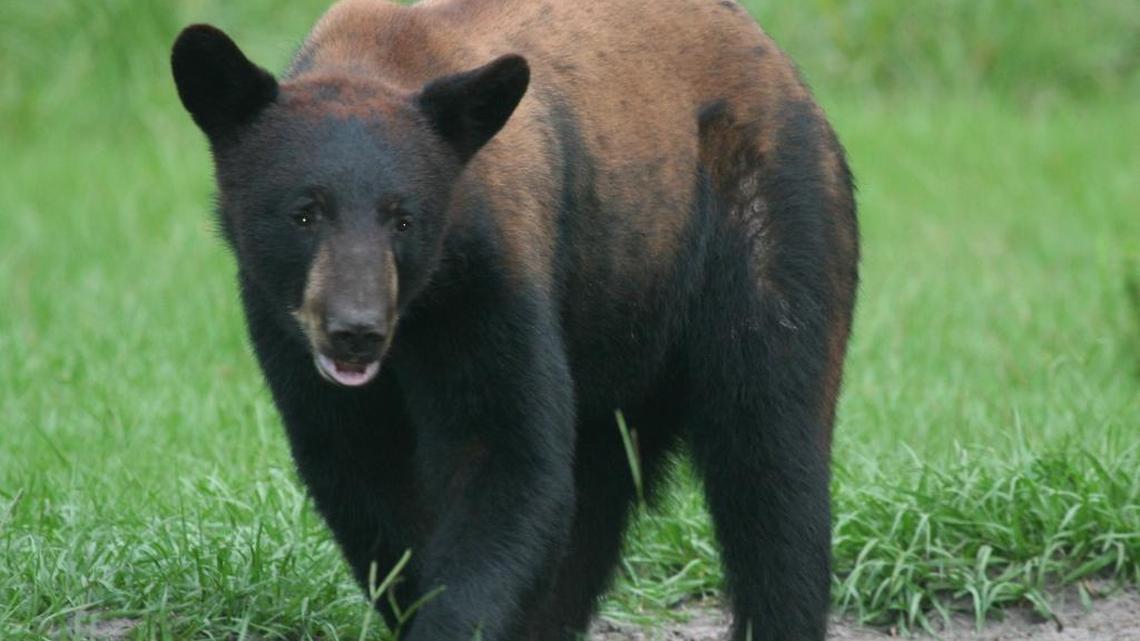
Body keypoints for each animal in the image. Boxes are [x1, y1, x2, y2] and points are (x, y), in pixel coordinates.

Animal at [170, 0, 858, 639]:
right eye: (304, 213)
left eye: (404, 219)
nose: (356, 331)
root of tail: (783, 66)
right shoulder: (282, 326)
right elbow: (361, 473)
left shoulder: (491, 276)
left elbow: (506, 458)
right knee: (595, 496)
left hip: (765, 224)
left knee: (770, 457)